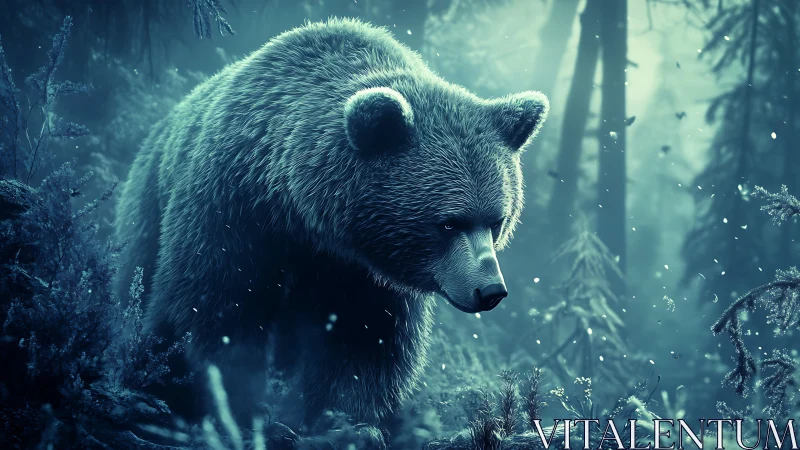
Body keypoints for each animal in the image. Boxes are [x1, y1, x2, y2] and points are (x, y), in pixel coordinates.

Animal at [114, 17, 548, 427]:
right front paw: (230, 402)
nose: (490, 290)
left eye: (496, 221)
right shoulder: (235, 207)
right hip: (150, 202)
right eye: (448, 223)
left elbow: (363, 342)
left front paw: (340, 418)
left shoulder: (360, 275)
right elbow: (216, 306)